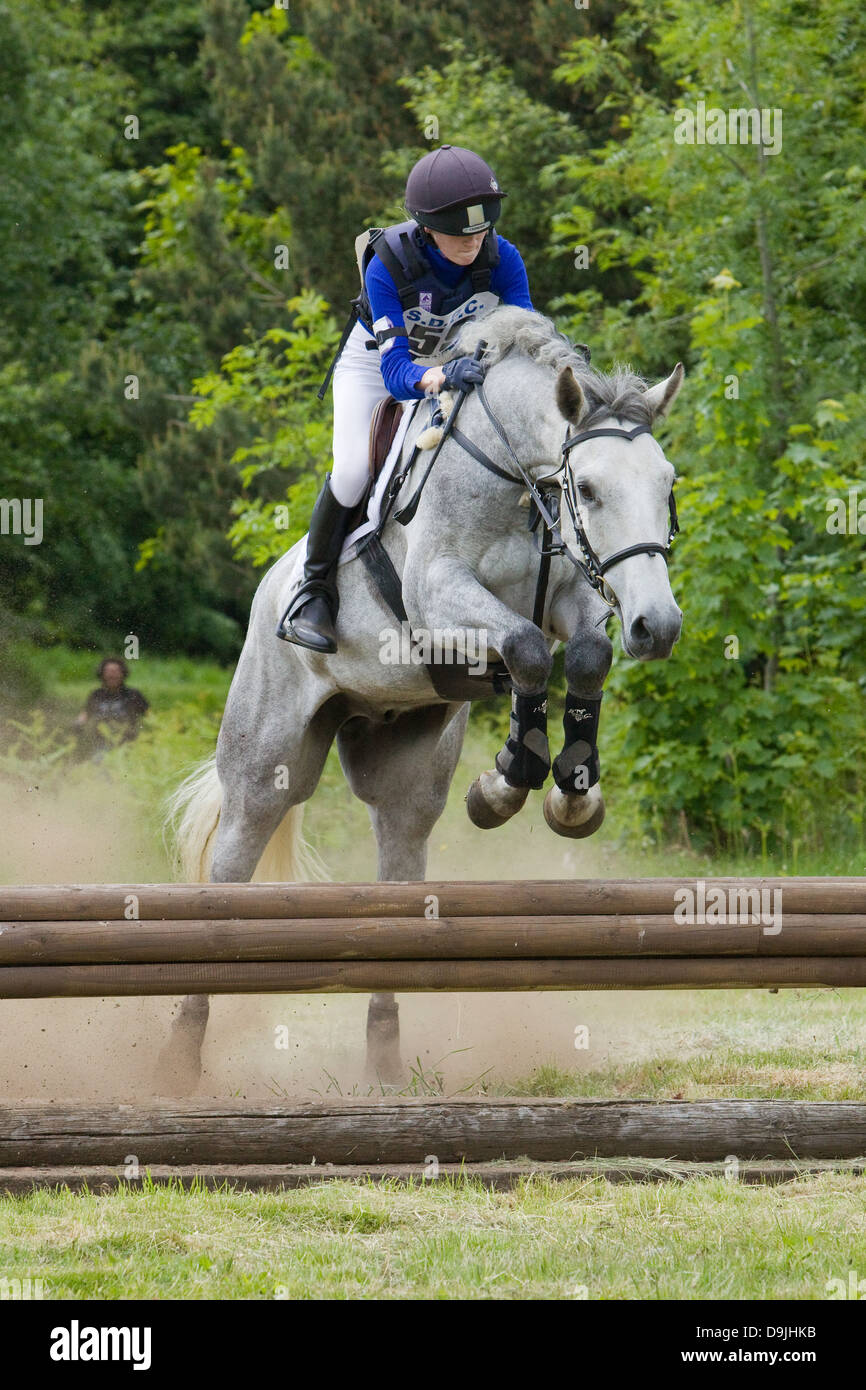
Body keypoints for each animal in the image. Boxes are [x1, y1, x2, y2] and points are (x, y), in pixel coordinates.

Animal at [155, 307, 683, 1095]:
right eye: (586, 489)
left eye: (667, 483)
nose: (659, 626)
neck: (515, 475)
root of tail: (269, 590)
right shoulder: (438, 595)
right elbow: (527, 646)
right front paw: (514, 777)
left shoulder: (572, 595)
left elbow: (576, 655)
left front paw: (559, 789)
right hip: (265, 769)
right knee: (230, 870)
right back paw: (181, 1058)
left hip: (405, 774)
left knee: (396, 879)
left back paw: (383, 1061)